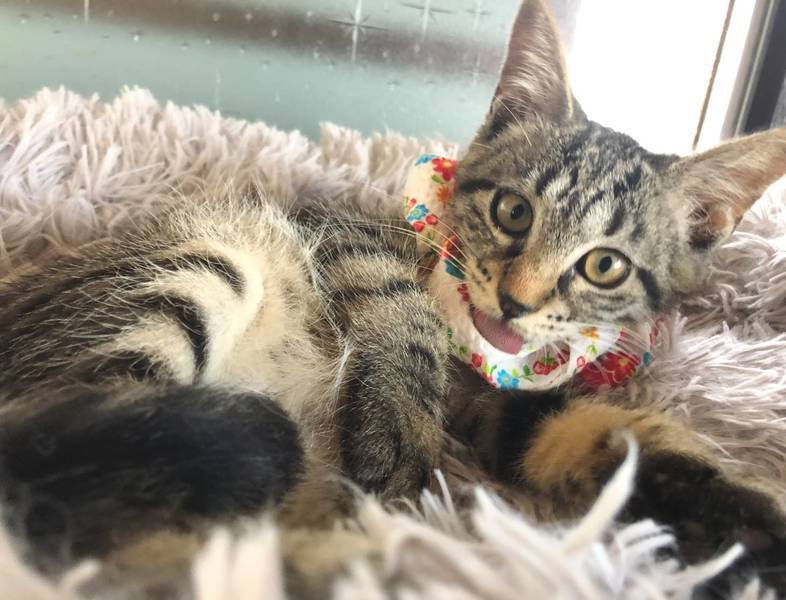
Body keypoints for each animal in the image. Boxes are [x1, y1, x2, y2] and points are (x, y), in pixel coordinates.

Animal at [1, 0, 785, 596]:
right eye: (513, 212)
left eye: (603, 266)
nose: (516, 301)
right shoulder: (342, 231)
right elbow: (403, 310)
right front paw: (400, 438)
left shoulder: (504, 399)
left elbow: (587, 433)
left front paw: (743, 522)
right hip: (190, 276)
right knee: (70, 521)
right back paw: (354, 563)